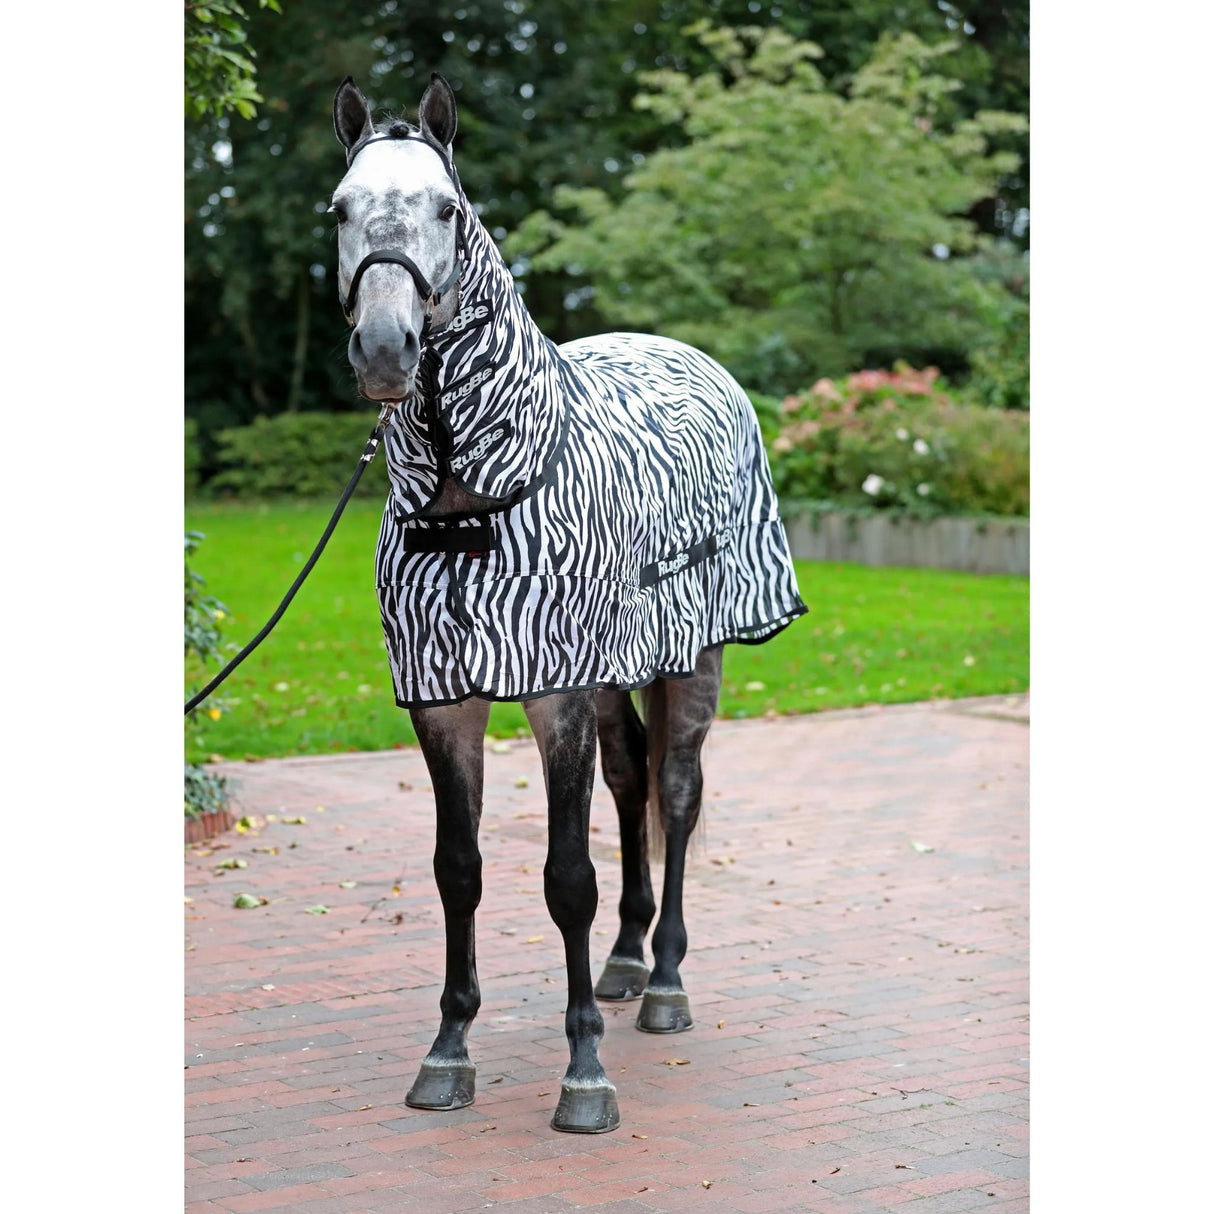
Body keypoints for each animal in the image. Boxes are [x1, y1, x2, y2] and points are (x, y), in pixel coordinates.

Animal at [330, 73, 806, 1134]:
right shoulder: (446, 700)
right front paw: (448, 1051)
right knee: (632, 782)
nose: (385, 347)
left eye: (448, 209)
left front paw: (584, 1073)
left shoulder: (553, 695)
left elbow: (566, 880)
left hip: (692, 658)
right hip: (611, 674)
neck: (470, 502)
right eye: (340, 210)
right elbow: (458, 871)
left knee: (677, 790)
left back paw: (663, 981)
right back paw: (627, 962)